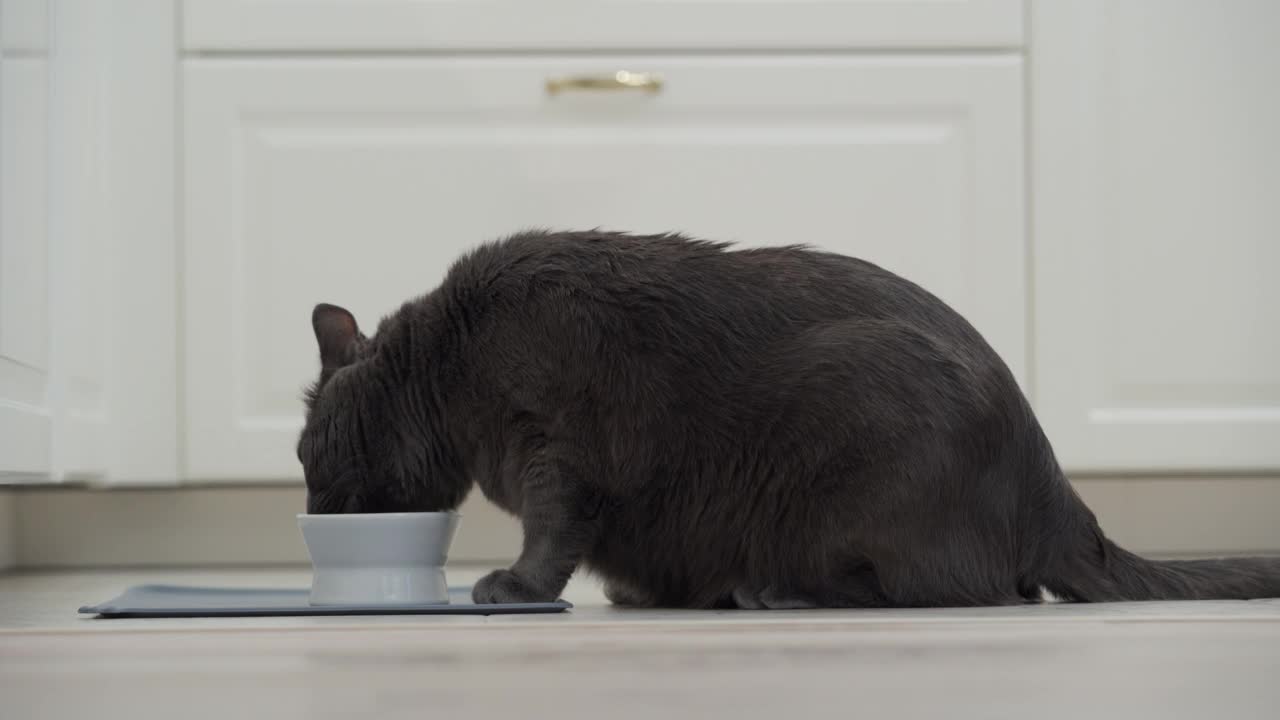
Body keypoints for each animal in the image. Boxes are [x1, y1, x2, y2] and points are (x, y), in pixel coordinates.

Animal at [293, 230, 1280, 604]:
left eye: (305, 454)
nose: (306, 506)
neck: (444, 363)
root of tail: (1056, 494)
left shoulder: (558, 447)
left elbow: (553, 525)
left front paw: (516, 588)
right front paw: (640, 593)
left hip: (866, 458)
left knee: (961, 589)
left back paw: (770, 590)